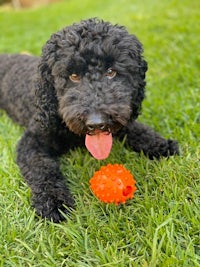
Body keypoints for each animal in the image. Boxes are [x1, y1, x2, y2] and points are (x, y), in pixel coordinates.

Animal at [0, 18, 178, 222]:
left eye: (111, 72)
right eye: (73, 76)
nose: (96, 123)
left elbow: (136, 129)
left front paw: (161, 145)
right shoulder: (32, 142)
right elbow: (42, 171)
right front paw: (54, 201)